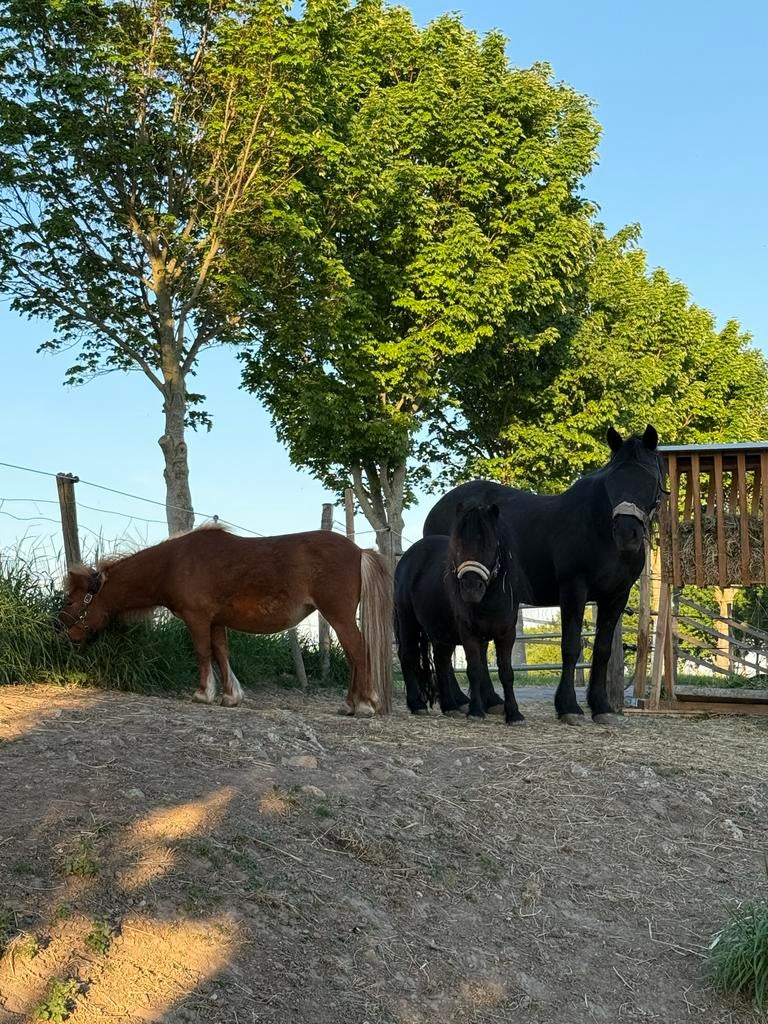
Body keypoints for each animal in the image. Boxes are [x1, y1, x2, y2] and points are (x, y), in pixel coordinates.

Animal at [57, 525, 393, 717]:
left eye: (70, 601)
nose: (64, 634)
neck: (174, 563)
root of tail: (359, 550)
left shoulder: (197, 618)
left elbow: (203, 653)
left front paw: (203, 693)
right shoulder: (216, 621)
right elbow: (221, 653)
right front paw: (231, 696)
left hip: (338, 615)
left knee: (358, 652)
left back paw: (364, 704)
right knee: (353, 655)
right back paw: (349, 704)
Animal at [395, 503, 526, 722]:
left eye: (490, 545)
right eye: (457, 546)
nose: (470, 588)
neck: (489, 601)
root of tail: (408, 556)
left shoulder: (506, 634)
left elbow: (506, 672)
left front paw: (514, 714)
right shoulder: (469, 633)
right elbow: (474, 670)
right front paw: (476, 711)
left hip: (441, 633)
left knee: (441, 661)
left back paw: (449, 706)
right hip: (408, 623)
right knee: (408, 656)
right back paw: (417, 704)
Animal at [424, 426, 666, 725]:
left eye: (648, 478)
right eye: (613, 479)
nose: (626, 533)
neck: (597, 527)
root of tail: (436, 511)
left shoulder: (616, 596)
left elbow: (602, 650)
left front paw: (601, 707)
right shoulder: (573, 589)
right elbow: (570, 646)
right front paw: (569, 706)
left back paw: (488, 702)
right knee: (445, 646)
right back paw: (456, 702)